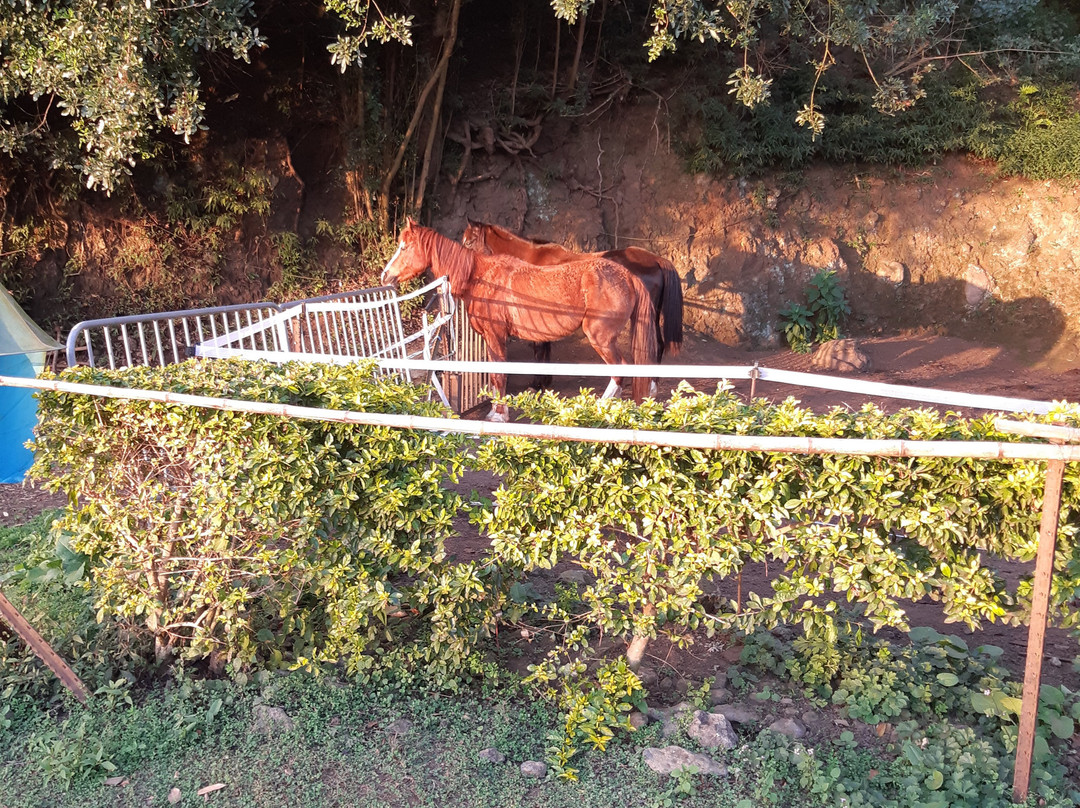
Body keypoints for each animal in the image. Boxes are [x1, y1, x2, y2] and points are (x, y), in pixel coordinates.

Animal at [380, 219, 656, 423]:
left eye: (404, 247)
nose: (385, 276)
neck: (479, 276)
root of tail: (628, 276)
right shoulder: (490, 340)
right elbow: (494, 376)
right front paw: (495, 410)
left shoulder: (496, 337)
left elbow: (500, 375)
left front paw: (501, 415)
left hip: (601, 339)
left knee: (620, 372)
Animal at [462, 219, 682, 386]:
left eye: (468, 242)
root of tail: (656, 259)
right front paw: (544, 381)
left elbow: (539, 348)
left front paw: (538, 383)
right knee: (658, 344)